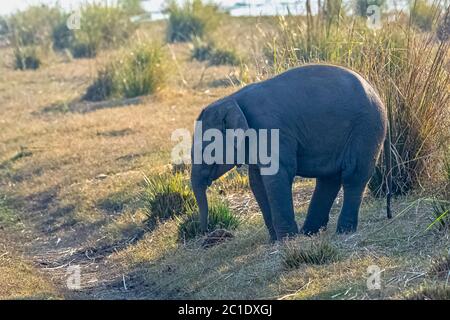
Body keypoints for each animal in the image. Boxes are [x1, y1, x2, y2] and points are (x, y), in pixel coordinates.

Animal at [190, 63, 390, 241]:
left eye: (205, 150)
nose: (206, 232)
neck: (232, 99)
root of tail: (377, 94)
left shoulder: (270, 130)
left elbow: (277, 175)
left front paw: (287, 240)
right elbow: (257, 181)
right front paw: (275, 241)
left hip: (366, 129)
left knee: (353, 176)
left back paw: (342, 231)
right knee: (329, 179)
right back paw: (309, 233)